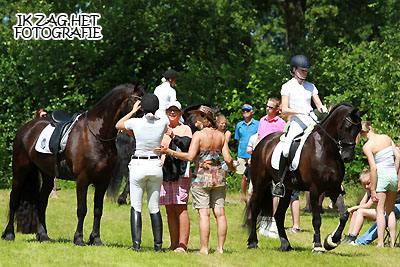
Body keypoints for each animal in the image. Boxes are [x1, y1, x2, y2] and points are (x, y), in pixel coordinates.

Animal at [0, 84, 145, 247]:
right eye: (138, 103)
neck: (97, 134)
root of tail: (25, 128)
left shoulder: (103, 181)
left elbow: (98, 210)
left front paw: (96, 239)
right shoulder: (82, 179)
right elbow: (82, 209)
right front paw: (79, 238)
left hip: (48, 176)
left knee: (41, 202)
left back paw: (43, 235)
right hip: (20, 172)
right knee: (14, 199)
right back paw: (9, 234)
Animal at [248, 102, 368, 253]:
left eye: (358, 130)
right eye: (347, 128)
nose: (347, 157)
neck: (325, 148)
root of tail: (263, 142)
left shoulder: (334, 188)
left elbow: (344, 215)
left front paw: (331, 241)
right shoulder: (315, 189)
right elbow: (316, 219)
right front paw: (317, 245)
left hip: (287, 190)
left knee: (279, 215)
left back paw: (285, 244)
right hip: (260, 184)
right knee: (254, 210)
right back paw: (253, 242)